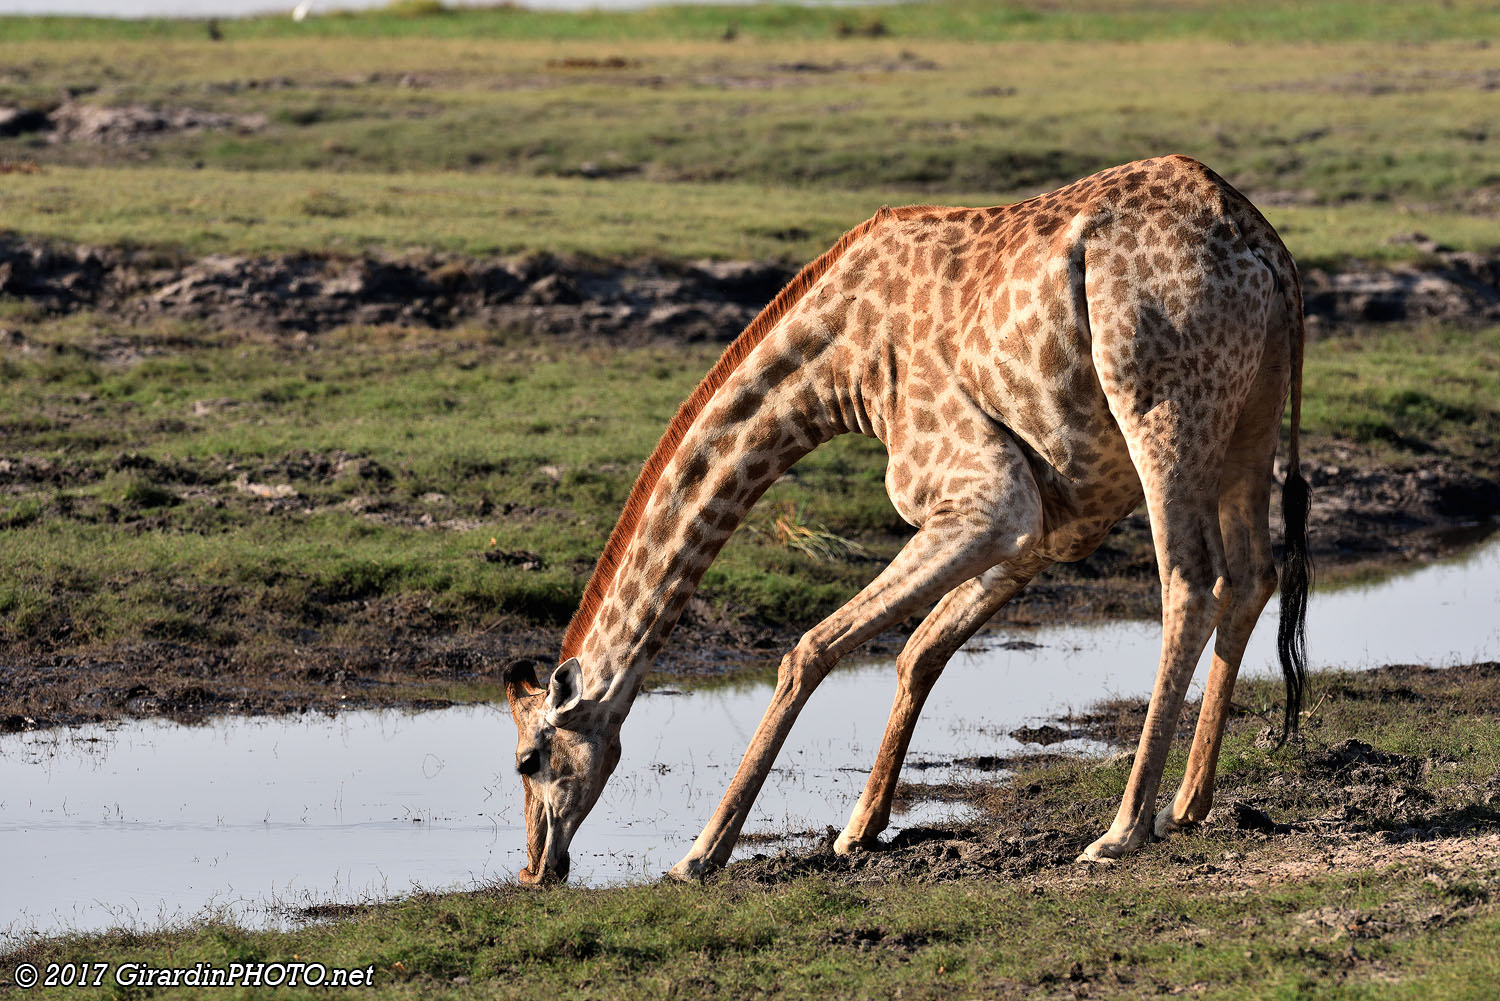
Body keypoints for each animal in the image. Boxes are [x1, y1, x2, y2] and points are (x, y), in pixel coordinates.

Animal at [504, 155, 1312, 883]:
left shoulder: (989, 500)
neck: (843, 367)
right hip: (1248, 425)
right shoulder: (1050, 521)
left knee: (1190, 581)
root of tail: (1263, 247)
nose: (537, 868)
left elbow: (810, 648)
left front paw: (701, 854)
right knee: (1251, 575)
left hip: (1159, 411)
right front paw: (858, 828)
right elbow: (919, 649)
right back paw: (1189, 803)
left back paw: (1121, 830)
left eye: (527, 759)